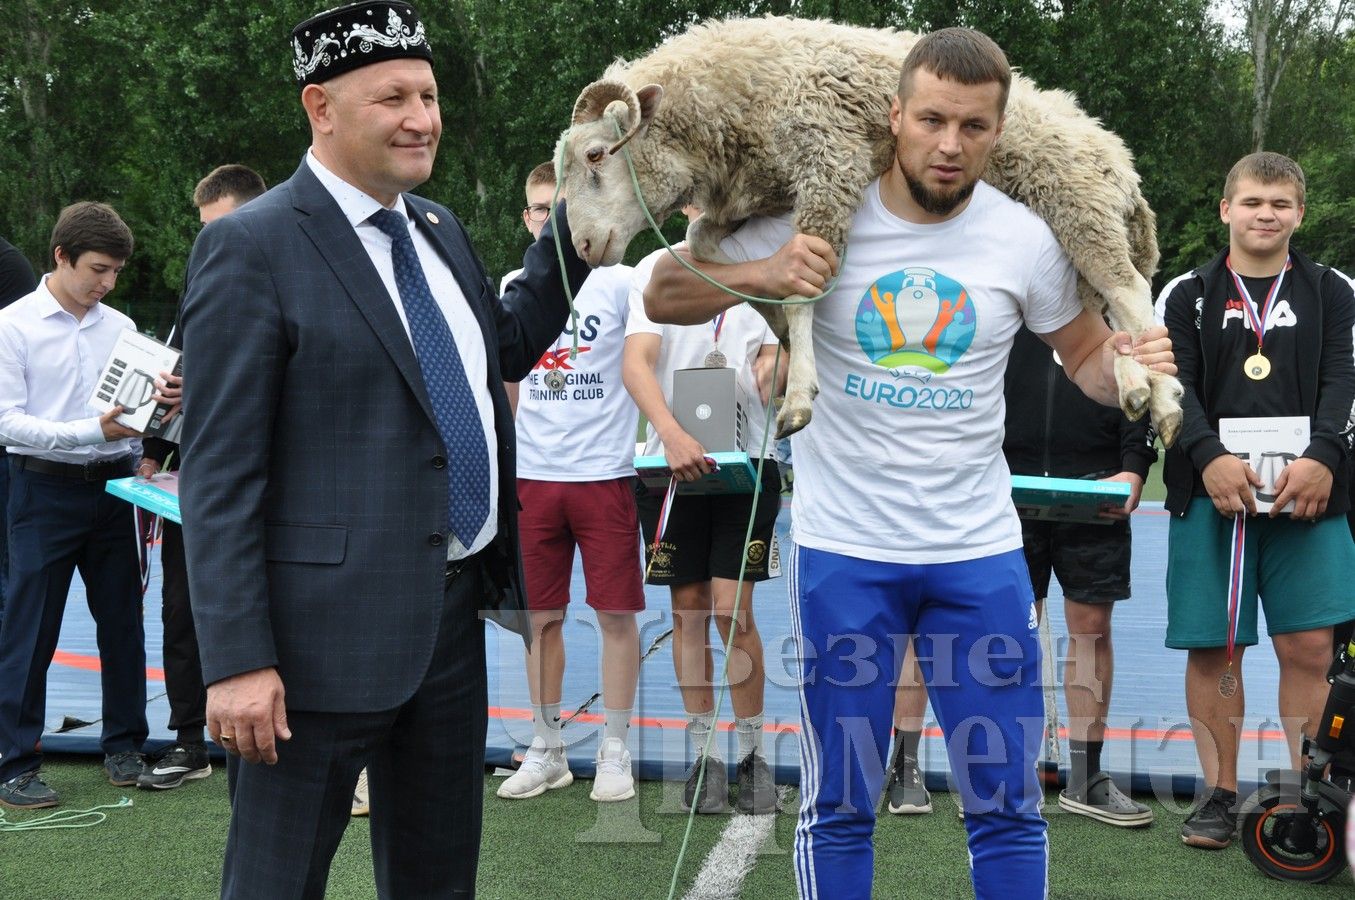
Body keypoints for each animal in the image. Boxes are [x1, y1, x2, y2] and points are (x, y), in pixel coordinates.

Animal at [555, 15, 1181, 444]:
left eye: (595, 155)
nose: (584, 245)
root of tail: (1119, 159)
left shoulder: (829, 160)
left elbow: (803, 296)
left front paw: (798, 396)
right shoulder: (756, 197)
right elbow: (707, 245)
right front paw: (774, 322)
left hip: (1081, 208)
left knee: (1129, 291)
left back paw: (1167, 401)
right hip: (1079, 235)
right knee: (1111, 309)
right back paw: (1132, 385)